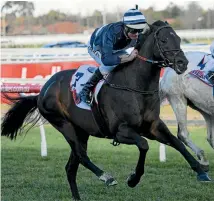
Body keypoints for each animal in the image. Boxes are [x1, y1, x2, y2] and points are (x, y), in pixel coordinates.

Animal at [1, 20, 211, 201]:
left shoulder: (153, 127)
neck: (135, 86)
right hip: (64, 125)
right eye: (164, 40)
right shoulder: (121, 131)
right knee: (81, 156)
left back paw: (78, 197)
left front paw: (201, 171)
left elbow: (177, 143)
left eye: (179, 39)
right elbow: (143, 145)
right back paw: (106, 177)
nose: (183, 63)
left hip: (81, 131)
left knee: (71, 166)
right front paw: (133, 179)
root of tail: (42, 91)